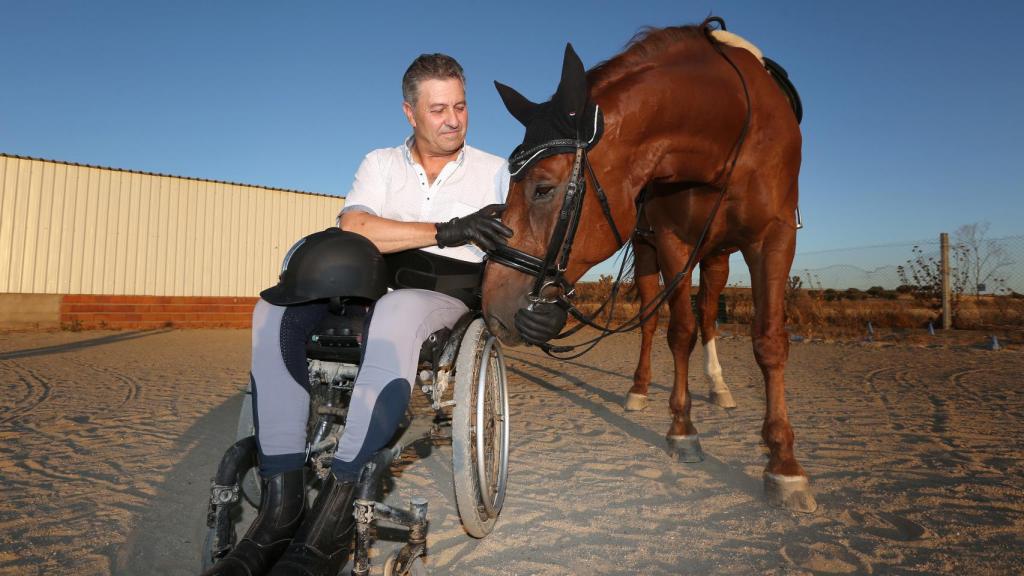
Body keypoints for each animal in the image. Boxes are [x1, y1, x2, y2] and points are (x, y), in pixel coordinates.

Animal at [485, 19, 815, 510]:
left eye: (543, 188)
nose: (493, 305)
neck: (728, 129)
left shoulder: (774, 238)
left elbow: (769, 341)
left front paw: (784, 464)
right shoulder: (673, 241)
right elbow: (678, 332)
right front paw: (682, 430)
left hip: (717, 255)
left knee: (709, 312)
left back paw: (719, 387)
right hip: (647, 251)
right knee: (650, 319)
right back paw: (640, 390)